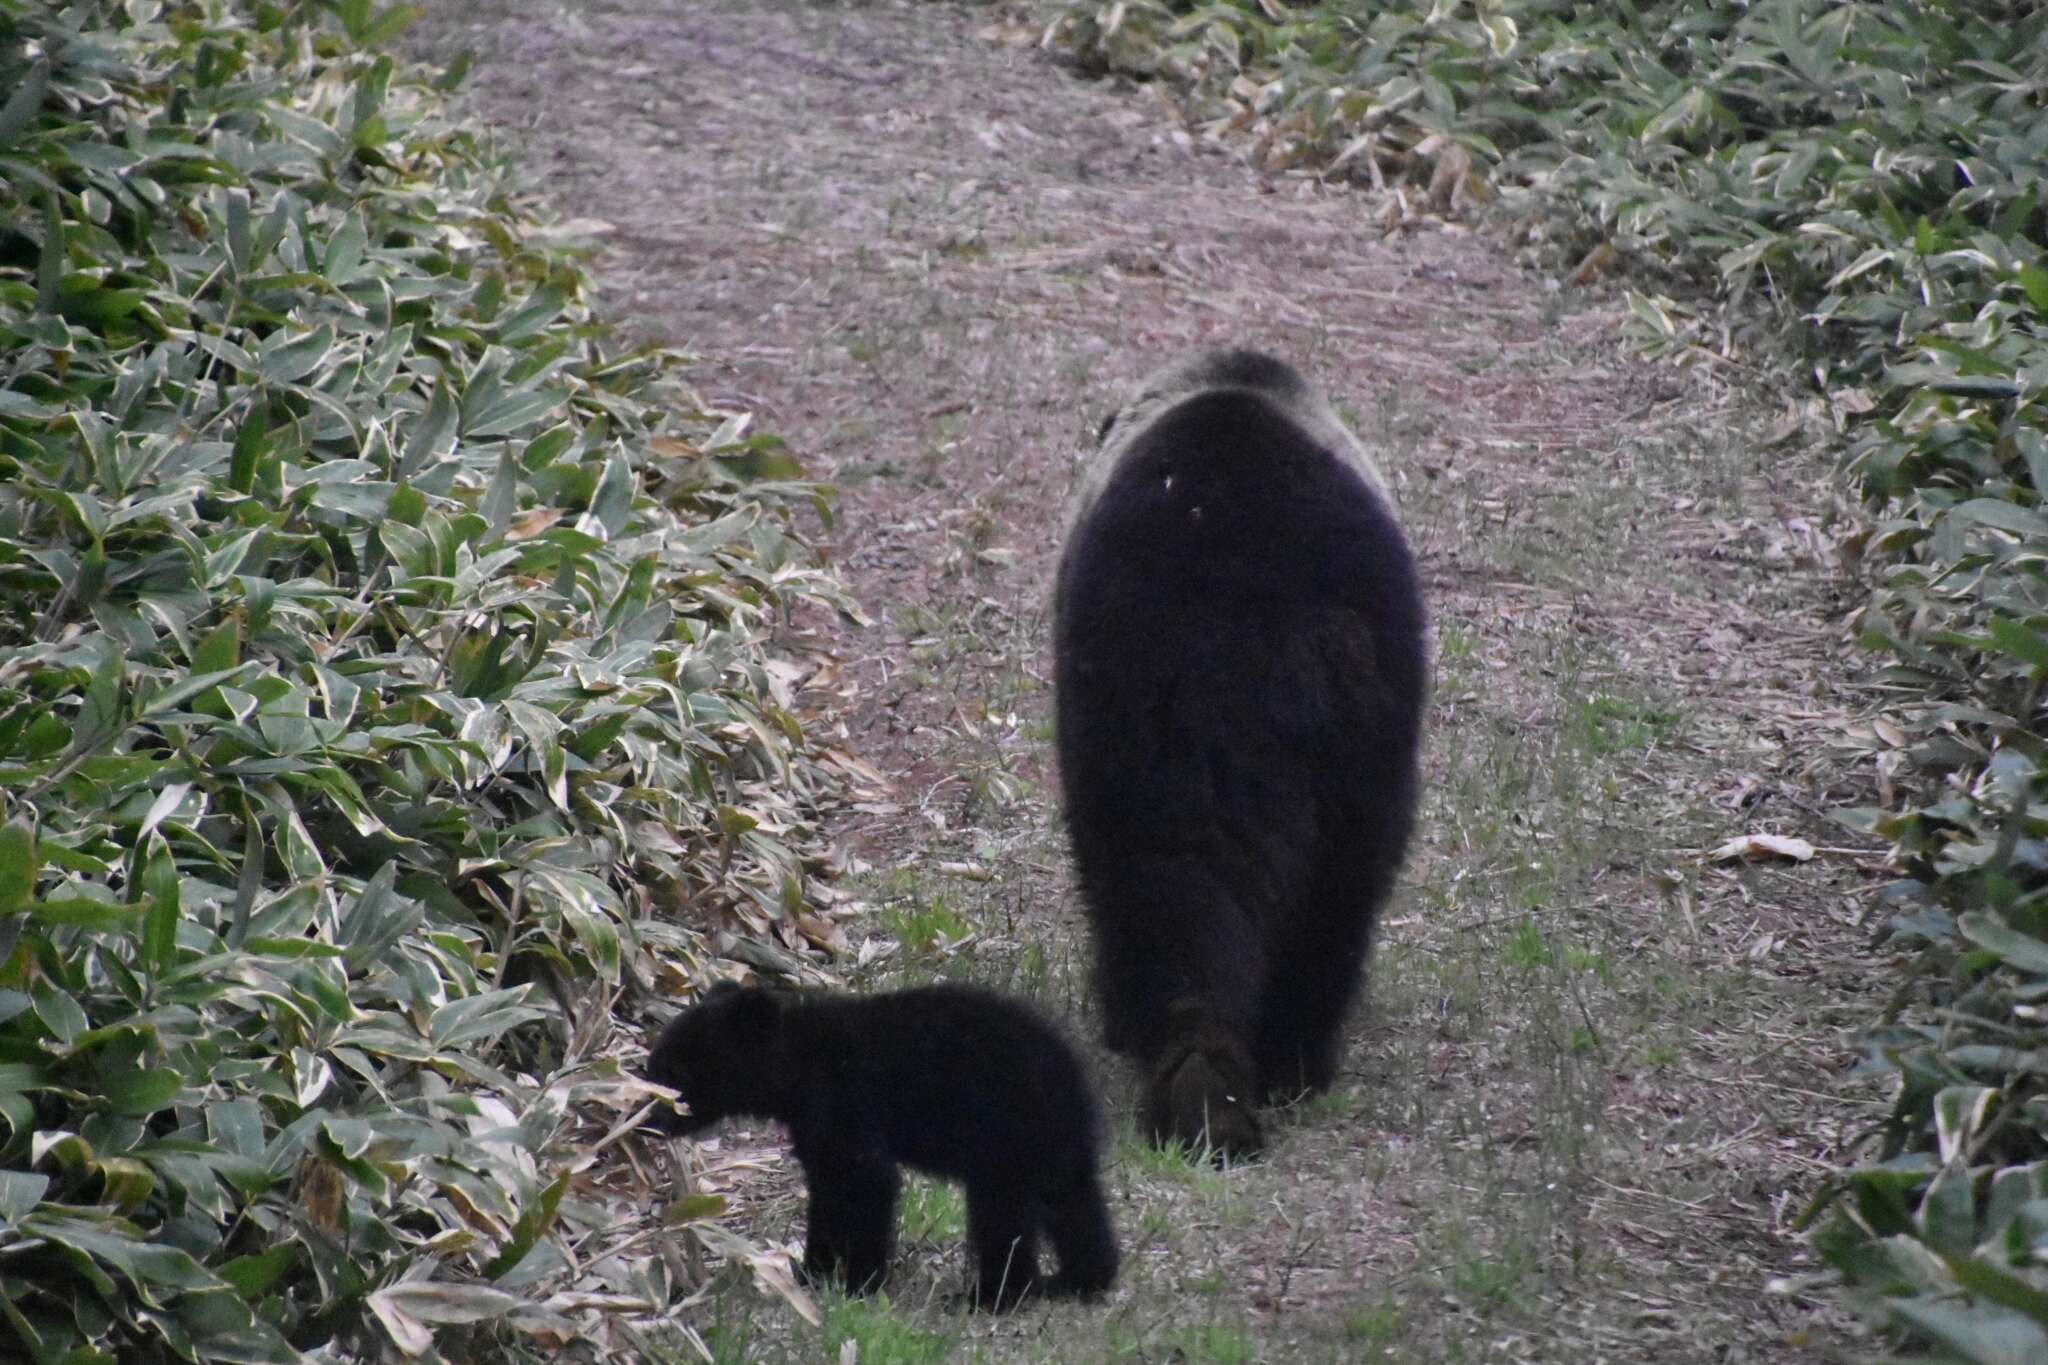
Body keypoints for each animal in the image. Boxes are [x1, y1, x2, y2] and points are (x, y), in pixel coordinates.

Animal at [647, 982, 1114, 1309]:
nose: (649, 1122)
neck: (797, 1065)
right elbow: (827, 1187)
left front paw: (859, 1282)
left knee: (1002, 1216)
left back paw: (990, 1297)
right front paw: (812, 1272)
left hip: (1005, 1136)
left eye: (676, 1070)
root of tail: (1072, 1074)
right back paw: (1079, 1279)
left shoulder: (844, 1100)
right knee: (1073, 1201)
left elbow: (867, 1181)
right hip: (1049, 1142)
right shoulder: (813, 1124)